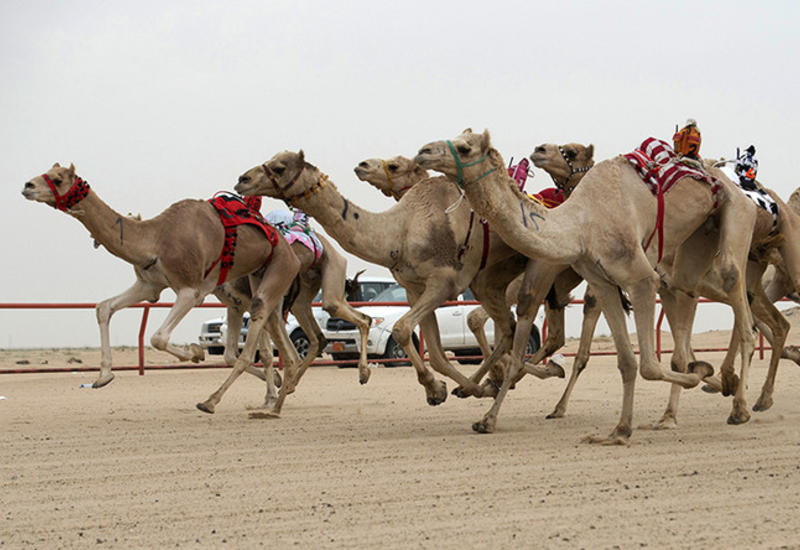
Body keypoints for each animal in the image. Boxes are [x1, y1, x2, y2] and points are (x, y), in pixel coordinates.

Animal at [23, 164, 304, 414]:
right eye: (47, 171)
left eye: (58, 178)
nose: (27, 186)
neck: (156, 238)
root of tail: (289, 249)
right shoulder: (150, 284)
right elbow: (104, 308)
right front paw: (103, 376)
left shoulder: (191, 290)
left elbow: (158, 337)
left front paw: (195, 352)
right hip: (247, 290)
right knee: (258, 340)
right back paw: (277, 389)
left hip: (272, 274)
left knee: (259, 339)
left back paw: (231, 400)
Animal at [233, 151, 564, 410]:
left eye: (279, 167)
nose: (243, 179)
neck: (400, 230)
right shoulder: (415, 287)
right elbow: (435, 353)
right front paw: (447, 389)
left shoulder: (444, 281)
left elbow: (403, 329)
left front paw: (446, 387)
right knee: (508, 327)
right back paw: (514, 375)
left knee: (515, 325)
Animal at [412, 129, 764, 444]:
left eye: (464, 147)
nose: (423, 152)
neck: (580, 225)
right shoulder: (602, 283)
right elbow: (627, 361)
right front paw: (620, 431)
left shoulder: (639, 277)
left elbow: (649, 366)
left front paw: (700, 373)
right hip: (697, 237)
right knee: (688, 289)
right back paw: (676, 412)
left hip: (737, 213)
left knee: (736, 289)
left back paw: (739, 406)